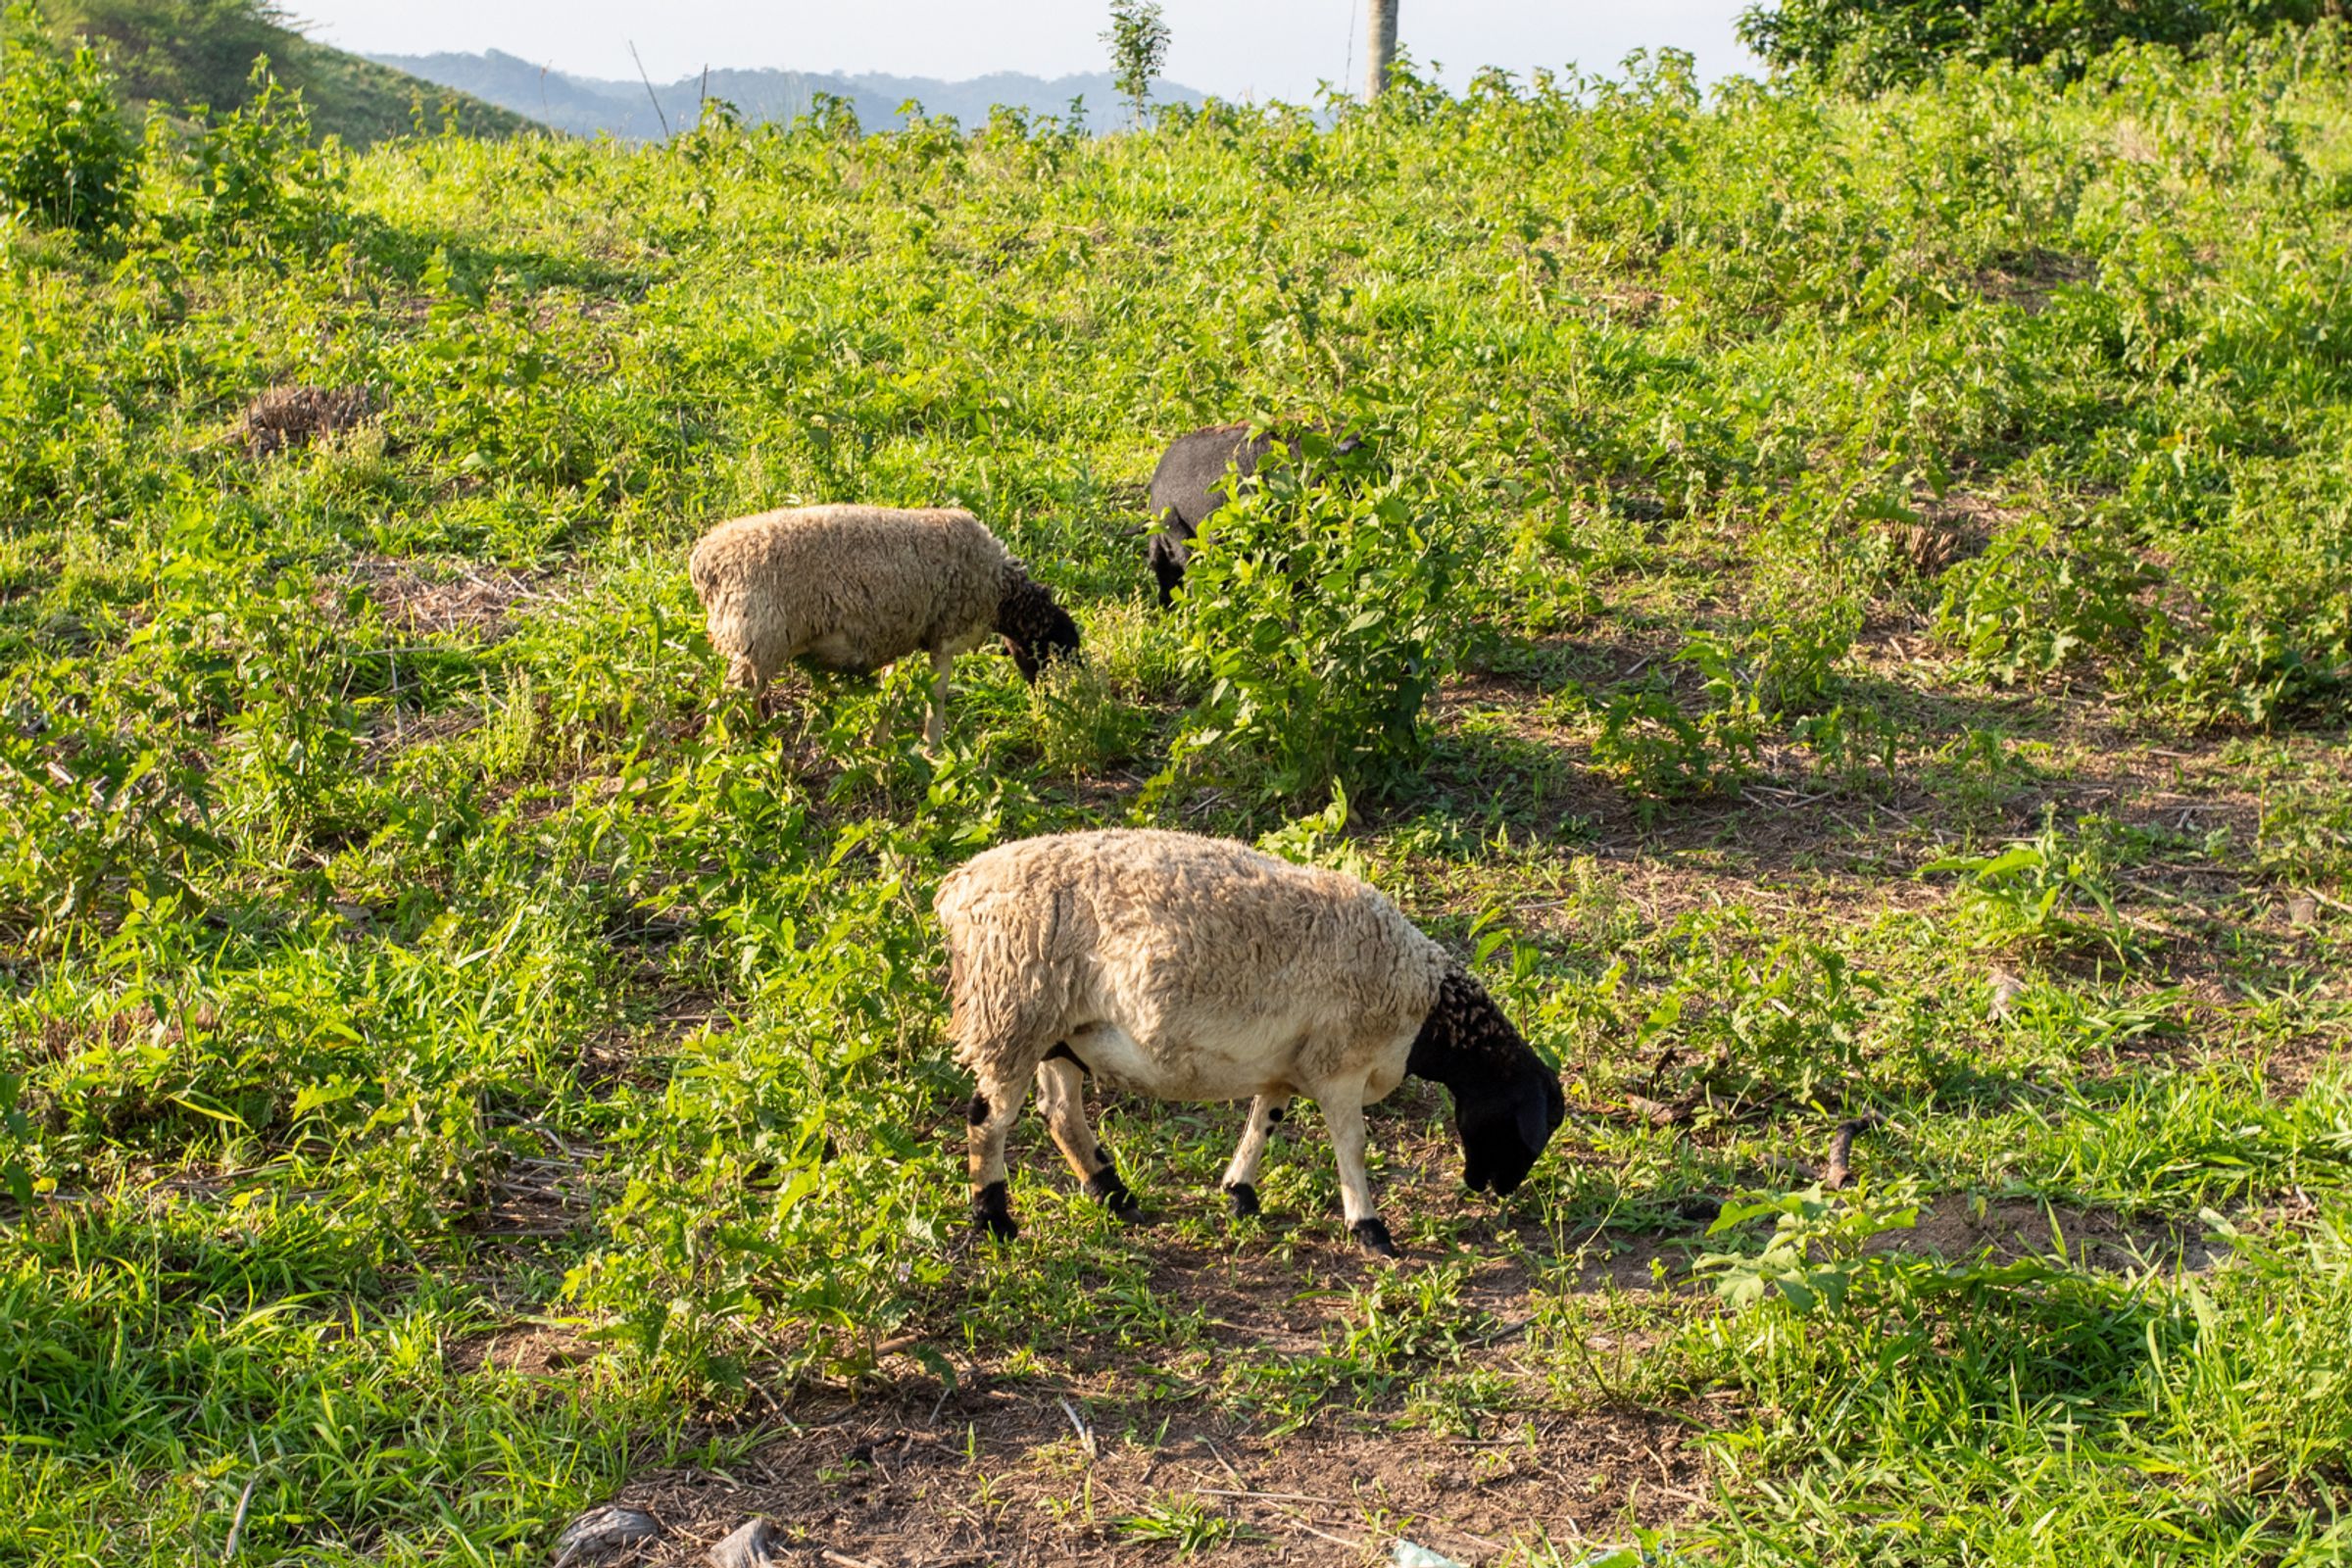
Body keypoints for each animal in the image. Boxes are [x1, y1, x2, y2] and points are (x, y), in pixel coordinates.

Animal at [687, 504, 1080, 748]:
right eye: (1053, 650)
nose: (1046, 699)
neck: (1000, 590)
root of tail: (705, 562)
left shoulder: (900, 637)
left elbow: (890, 691)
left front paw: (877, 740)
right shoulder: (945, 636)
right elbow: (937, 694)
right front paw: (933, 749)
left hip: (758, 647)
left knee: (745, 697)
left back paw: (757, 739)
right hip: (760, 638)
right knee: (723, 703)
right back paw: (719, 754)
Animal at [934, 828, 1565, 1257]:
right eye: (1522, 1127)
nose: (1493, 1188)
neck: (1427, 1013)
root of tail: (961, 886)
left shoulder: (1286, 1063)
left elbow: (1265, 1121)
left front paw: (1239, 1193)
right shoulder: (1340, 1065)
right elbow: (1351, 1144)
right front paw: (1370, 1230)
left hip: (1060, 1029)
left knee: (1061, 1113)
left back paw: (1115, 1195)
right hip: (1013, 1009)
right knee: (988, 1119)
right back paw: (994, 1218)